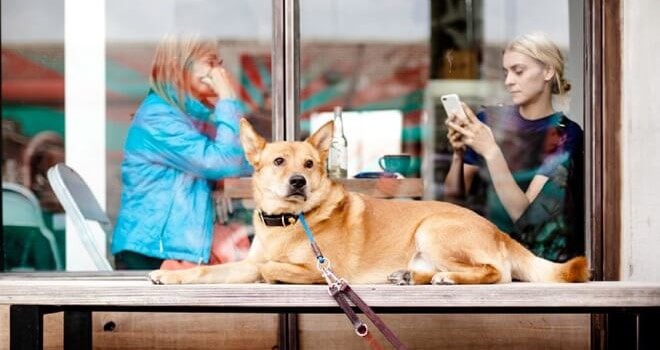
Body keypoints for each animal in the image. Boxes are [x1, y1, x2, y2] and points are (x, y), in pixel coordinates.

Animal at [148, 119, 588, 286]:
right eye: (278, 161)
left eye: (309, 164)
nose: (298, 181)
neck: (289, 222)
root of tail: (497, 231)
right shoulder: (244, 262)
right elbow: (211, 271)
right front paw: (171, 276)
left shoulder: (323, 270)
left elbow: (269, 267)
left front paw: (272, 272)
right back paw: (410, 277)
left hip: (433, 228)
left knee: (498, 272)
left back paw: (447, 278)